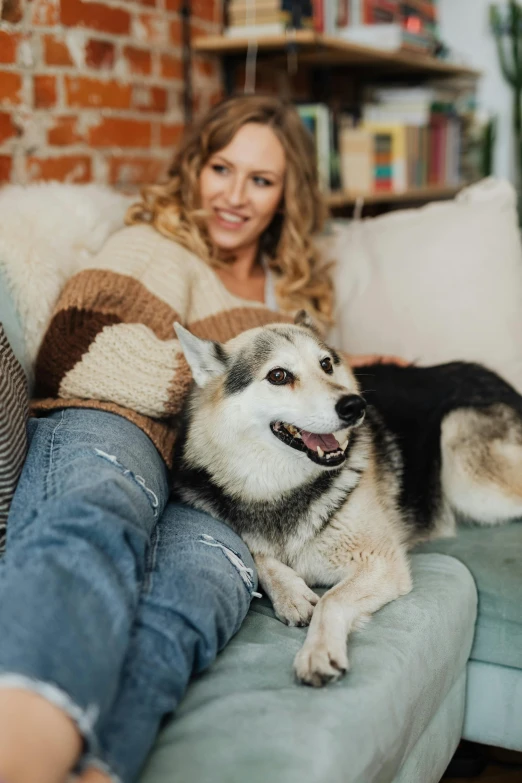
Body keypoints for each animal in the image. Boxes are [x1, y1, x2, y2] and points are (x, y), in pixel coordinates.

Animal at [171, 312, 520, 688]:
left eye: (326, 364)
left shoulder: (379, 562)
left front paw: (318, 651)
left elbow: (331, 600)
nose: (355, 406)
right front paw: (290, 593)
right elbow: (258, 555)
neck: (281, 490)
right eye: (278, 375)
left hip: (466, 472)